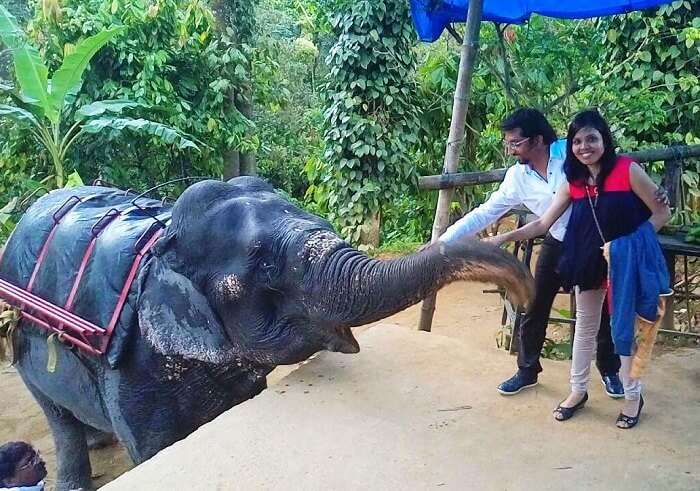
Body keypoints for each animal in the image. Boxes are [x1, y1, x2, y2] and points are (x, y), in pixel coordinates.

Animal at [0, 178, 532, 491]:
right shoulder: (132, 369)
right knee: (56, 417)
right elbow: (154, 448)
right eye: (267, 266)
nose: (522, 289)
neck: (163, 243)